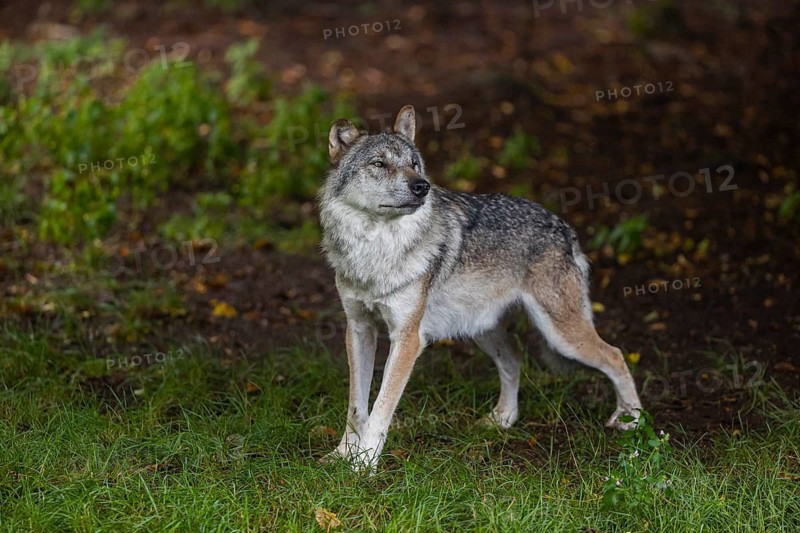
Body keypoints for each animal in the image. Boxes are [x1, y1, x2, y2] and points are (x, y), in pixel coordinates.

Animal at [319, 105, 642, 471]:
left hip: (562, 335)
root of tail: (564, 227)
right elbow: (356, 406)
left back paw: (631, 420)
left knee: (615, 355)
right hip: (482, 330)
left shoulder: (408, 339)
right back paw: (503, 418)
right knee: (515, 358)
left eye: (414, 164)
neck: (375, 252)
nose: (422, 187)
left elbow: (380, 408)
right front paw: (342, 455)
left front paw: (363, 465)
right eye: (379, 164)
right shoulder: (359, 329)